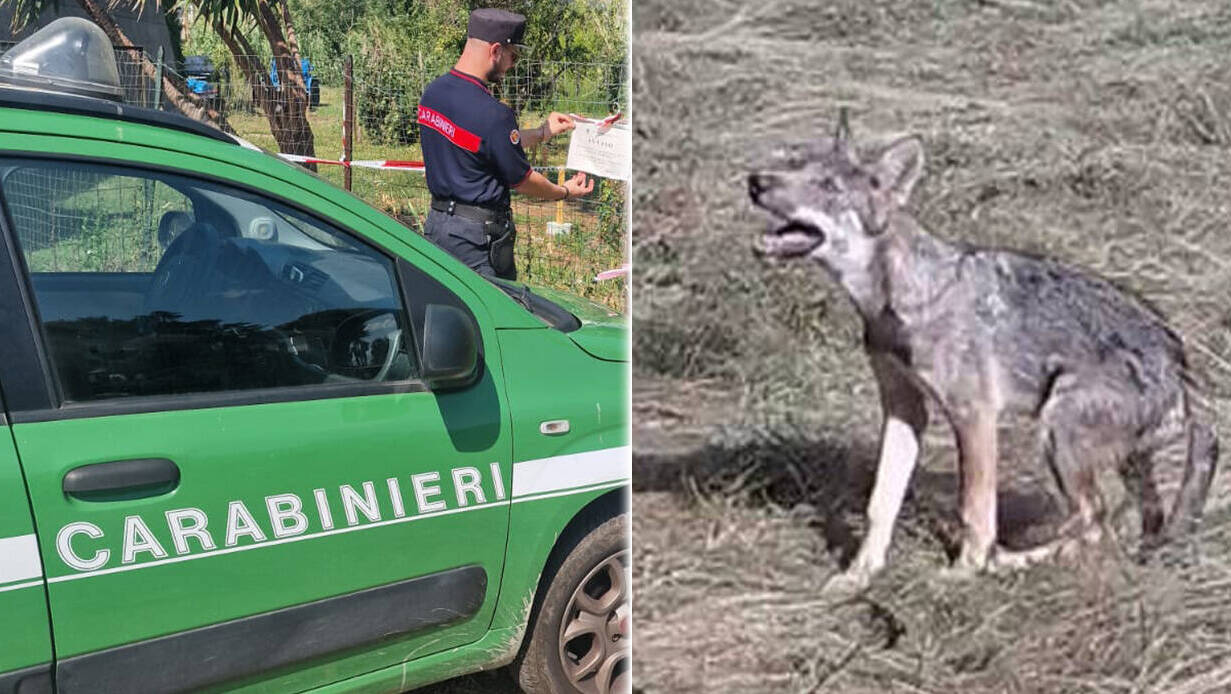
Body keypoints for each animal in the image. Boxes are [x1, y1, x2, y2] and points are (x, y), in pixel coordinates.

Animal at [743, 124, 1216, 590]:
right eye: (793, 162)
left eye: (828, 186)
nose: (754, 181)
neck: (902, 297)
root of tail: (1182, 368)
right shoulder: (904, 410)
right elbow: (881, 503)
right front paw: (860, 575)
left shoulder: (974, 416)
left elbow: (975, 509)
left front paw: (963, 573)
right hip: (1116, 463)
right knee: (1125, 526)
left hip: (1055, 430)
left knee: (1095, 522)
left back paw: (1006, 562)